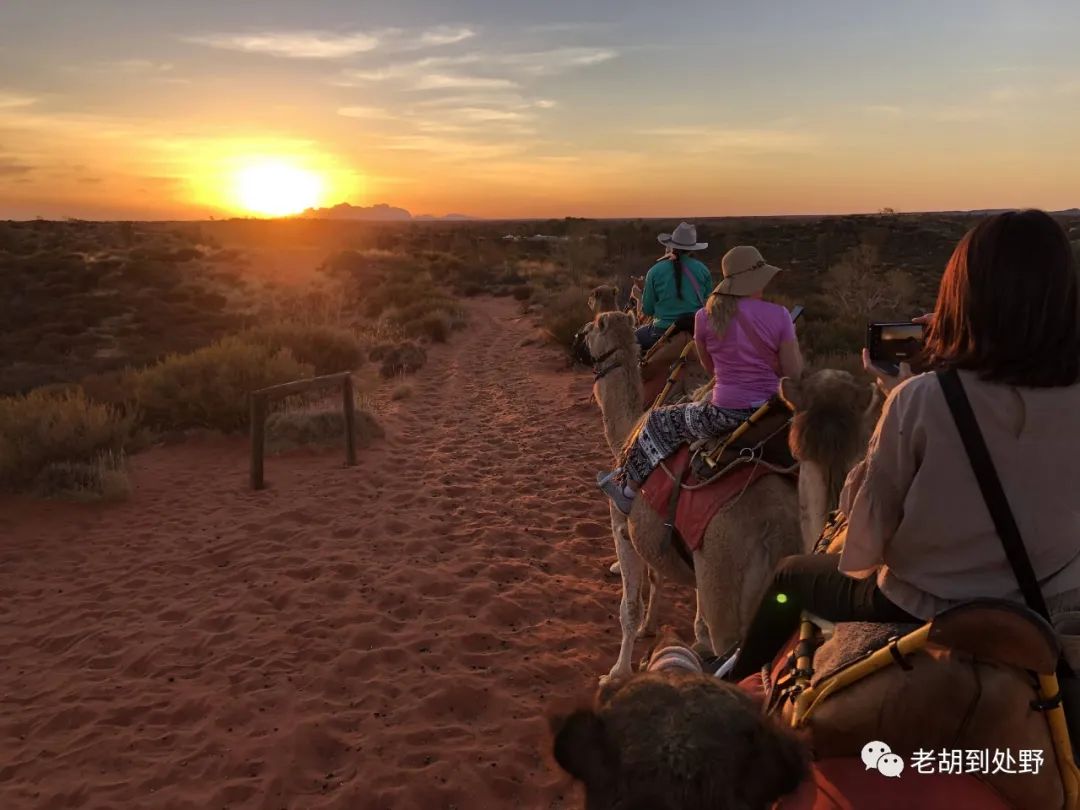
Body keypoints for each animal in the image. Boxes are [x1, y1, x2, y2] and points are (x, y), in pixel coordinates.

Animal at [587, 311, 881, 686]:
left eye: (593, 328)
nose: (579, 335)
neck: (628, 428)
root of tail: (777, 534)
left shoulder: (623, 525)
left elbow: (629, 608)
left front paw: (616, 672)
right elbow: (664, 583)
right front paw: (654, 630)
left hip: (728, 589)